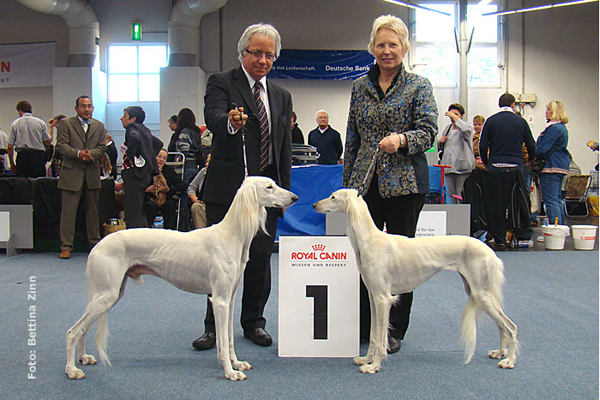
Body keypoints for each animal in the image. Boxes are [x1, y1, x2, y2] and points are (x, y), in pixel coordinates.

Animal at [65, 177, 298, 382]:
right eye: (269, 187)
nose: (294, 198)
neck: (231, 234)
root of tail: (97, 245)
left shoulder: (229, 299)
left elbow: (229, 338)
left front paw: (236, 363)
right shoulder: (219, 301)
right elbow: (223, 339)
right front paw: (230, 372)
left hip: (107, 294)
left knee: (83, 328)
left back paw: (83, 357)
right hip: (107, 295)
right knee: (72, 331)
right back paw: (71, 369)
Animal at [314, 189, 516, 374]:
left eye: (333, 197)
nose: (314, 205)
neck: (371, 240)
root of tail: (490, 251)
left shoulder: (383, 299)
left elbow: (380, 339)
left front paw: (374, 366)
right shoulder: (373, 296)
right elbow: (373, 335)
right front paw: (366, 359)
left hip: (481, 294)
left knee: (511, 327)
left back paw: (509, 360)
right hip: (478, 292)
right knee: (502, 326)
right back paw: (500, 353)